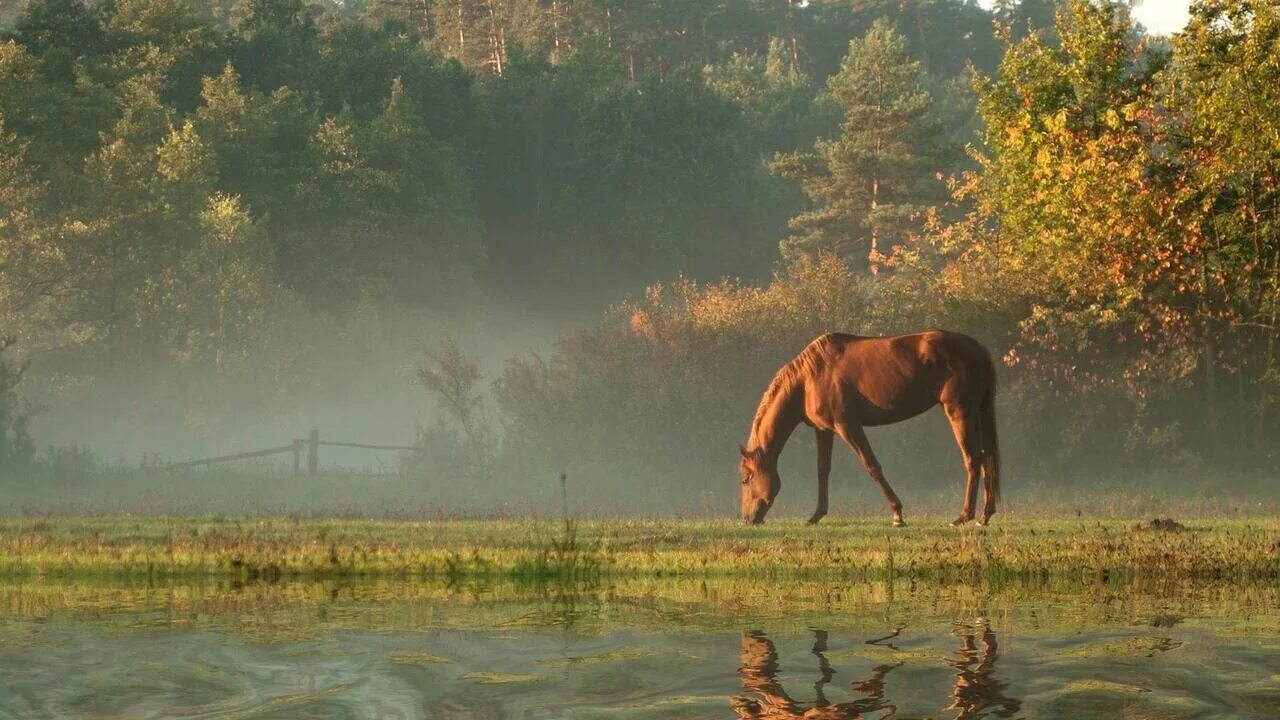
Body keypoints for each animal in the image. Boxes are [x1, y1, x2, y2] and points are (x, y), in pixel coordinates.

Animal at [742, 327, 998, 525]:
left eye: (745, 479)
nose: (747, 518)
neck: (809, 380)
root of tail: (980, 350)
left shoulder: (848, 427)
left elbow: (872, 466)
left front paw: (897, 514)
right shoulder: (824, 431)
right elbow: (823, 470)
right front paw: (816, 515)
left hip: (959, 413)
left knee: (973, 459)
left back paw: (963, 516)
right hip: (977, 413)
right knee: (987, 458)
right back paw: (984, 516)